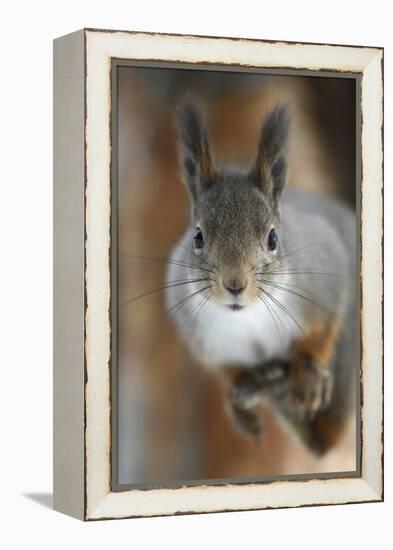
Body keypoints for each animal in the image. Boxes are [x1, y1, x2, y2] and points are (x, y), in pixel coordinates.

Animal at [164, 101, 356, 454]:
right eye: (197, 237)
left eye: (273, 238)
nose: (234, 284)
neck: (246, 318)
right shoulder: (204, 338)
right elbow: (228, 370)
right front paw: (241, 402)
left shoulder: (324, 279)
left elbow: (322, 331)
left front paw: (307, 375)